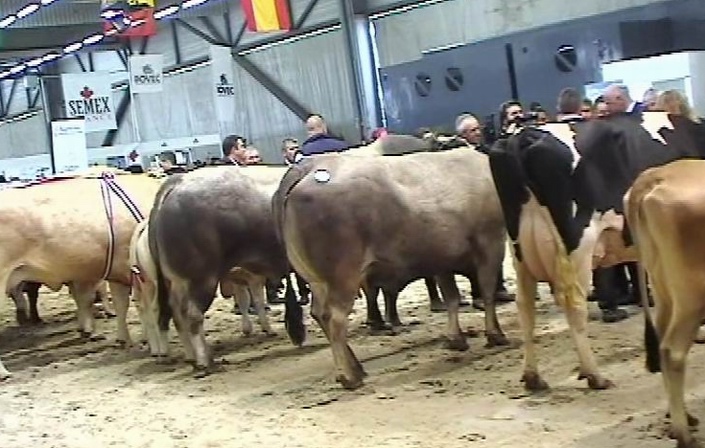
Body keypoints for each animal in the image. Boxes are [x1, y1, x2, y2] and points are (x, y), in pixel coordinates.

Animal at [490, 112, 704, 392]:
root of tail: (524, 136)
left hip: (520, 251)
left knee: (525, 305)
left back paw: (533, 377)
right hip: (578, 244)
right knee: (574, 303)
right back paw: (594, 375)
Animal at [624, 158, 704, 448]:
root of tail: (654, 176)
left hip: (663, 290)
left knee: (660, 341)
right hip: (692, 298)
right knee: (673, 351)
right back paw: (684, 435)